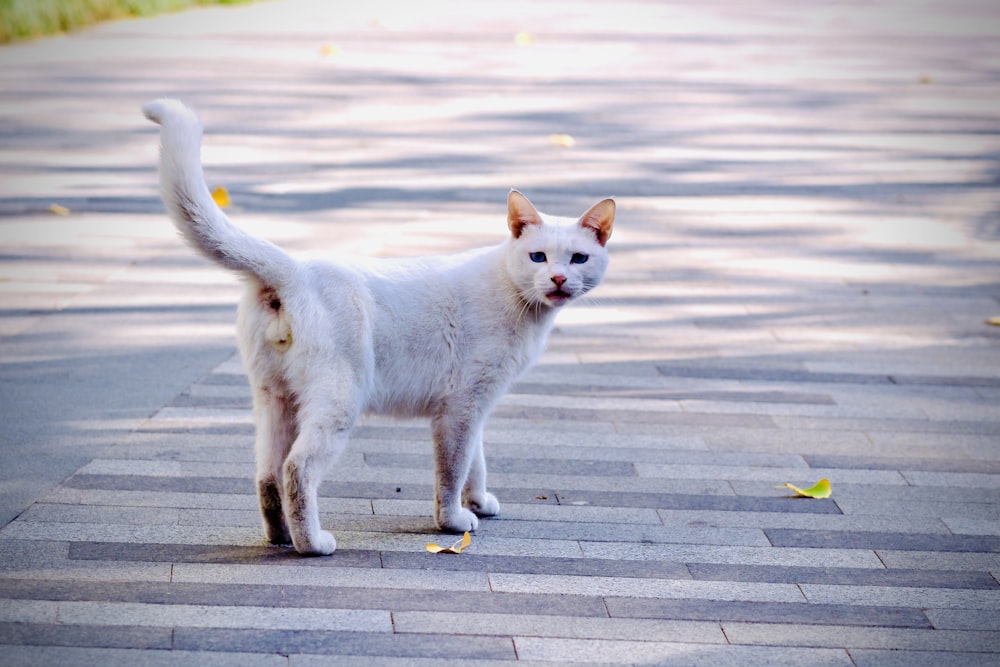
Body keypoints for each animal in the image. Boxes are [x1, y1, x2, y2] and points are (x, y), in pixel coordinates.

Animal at [140, 99, 608, 556]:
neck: (519, 302)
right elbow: (452, 472)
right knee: (296, 469)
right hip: (338, 401)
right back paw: (312, 545)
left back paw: (280, 538)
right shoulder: (461, 407)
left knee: (267, 476)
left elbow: (476, 462)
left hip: (276, 400)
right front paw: (454, 523)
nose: (559, 279)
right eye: (538, 257)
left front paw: (478, 504)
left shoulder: (473, 408)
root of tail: (295, 269)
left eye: (578, 259)